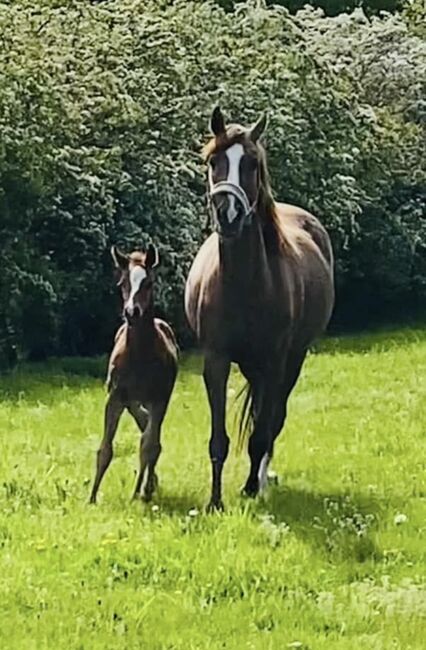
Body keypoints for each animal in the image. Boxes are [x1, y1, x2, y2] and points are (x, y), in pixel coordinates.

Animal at [89, 243, 177, 502]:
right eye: (122, 284)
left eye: (148, 283)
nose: (132, 312)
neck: (139, 355)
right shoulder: (116, 397)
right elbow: (105, 449)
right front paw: (92, 497)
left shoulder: (159, 400)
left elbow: (149, 446)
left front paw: (141, 493)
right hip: (131, 402)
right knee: (144, 424)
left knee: (151, 438)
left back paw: (145, 488)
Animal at [185, 106, 334, 508]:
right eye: (213, 161)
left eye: (251, 163)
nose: (228, 213)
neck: (243, 285)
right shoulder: (216, 360)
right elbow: (219, 439)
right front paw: (215, 502)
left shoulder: (275, 361)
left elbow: (262, 430)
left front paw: (252, 488)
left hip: (292, 360)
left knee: (273, 419)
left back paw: (263, 480)